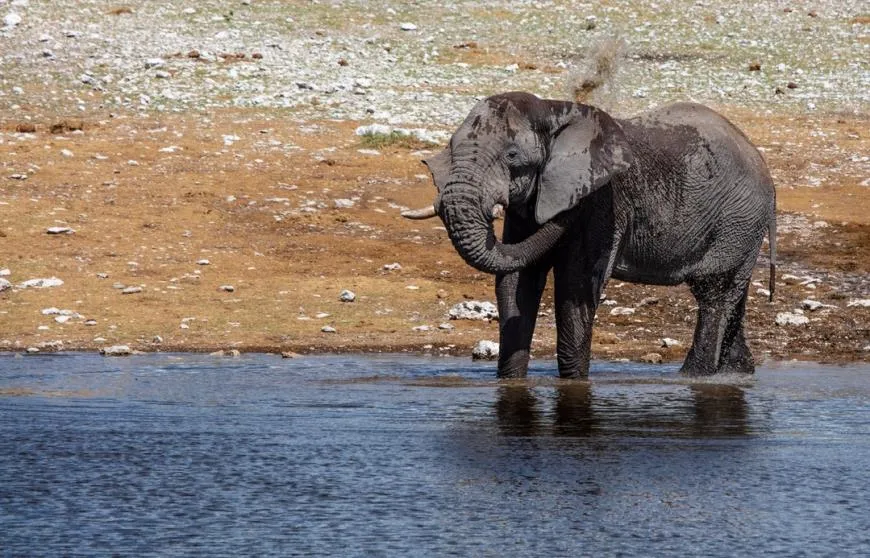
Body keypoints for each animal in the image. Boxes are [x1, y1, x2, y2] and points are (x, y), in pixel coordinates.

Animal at [406, 92, 780, 380]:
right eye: (451, 147)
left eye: (512, 155)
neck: (552, 110)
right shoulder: (527, 209)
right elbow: (515, 282)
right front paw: (510, 382)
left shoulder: (603, 203)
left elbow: (576, 286)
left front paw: (574, 383)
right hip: (742, 226)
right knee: (731, 293)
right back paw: (738, 373)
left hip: (738, 217)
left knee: (713, 290)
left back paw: (693, 377)